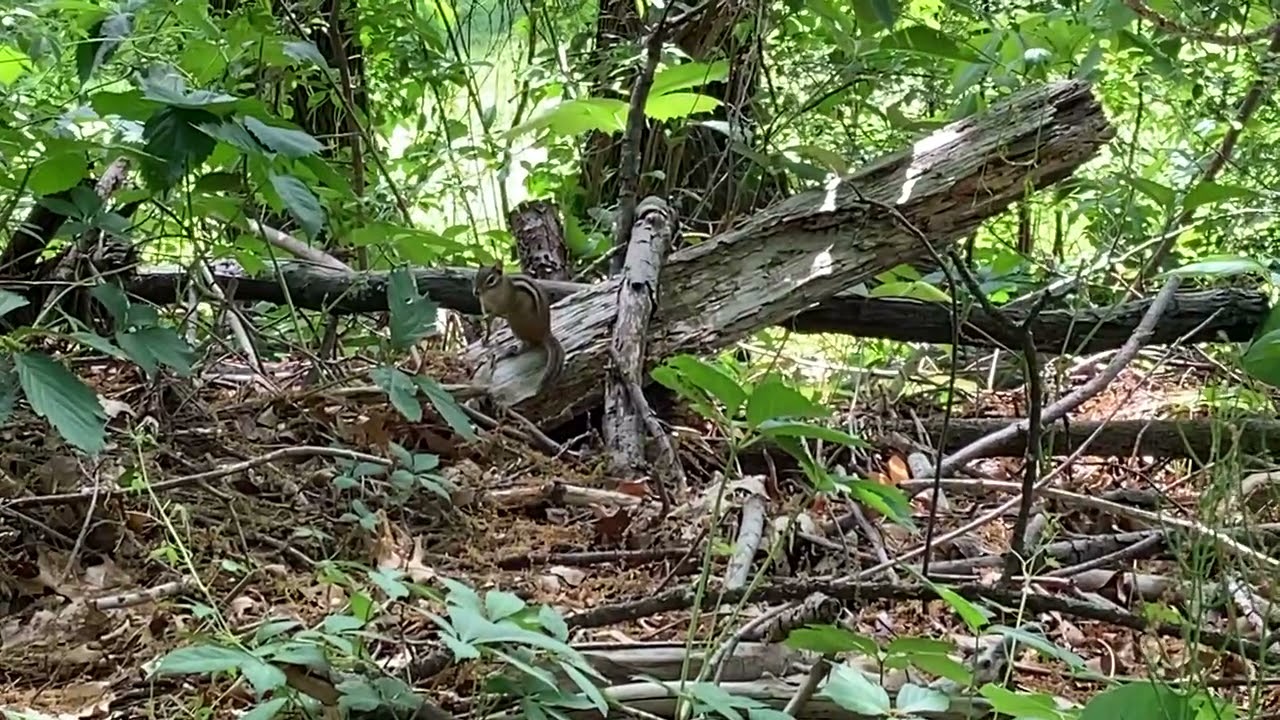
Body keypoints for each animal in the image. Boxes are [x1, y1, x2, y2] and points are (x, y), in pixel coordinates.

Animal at [472, 262, 565, 393]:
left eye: (491, 280)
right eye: (476, 276)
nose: (476, 292)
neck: (490, 294)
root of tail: (545, 333)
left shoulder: (505, 302)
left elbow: (497, 312)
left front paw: (490, 318)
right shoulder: (484, 305)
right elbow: (488, 324)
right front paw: (485, 337)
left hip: (515, 322)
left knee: (528, 344)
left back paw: (512, 352)